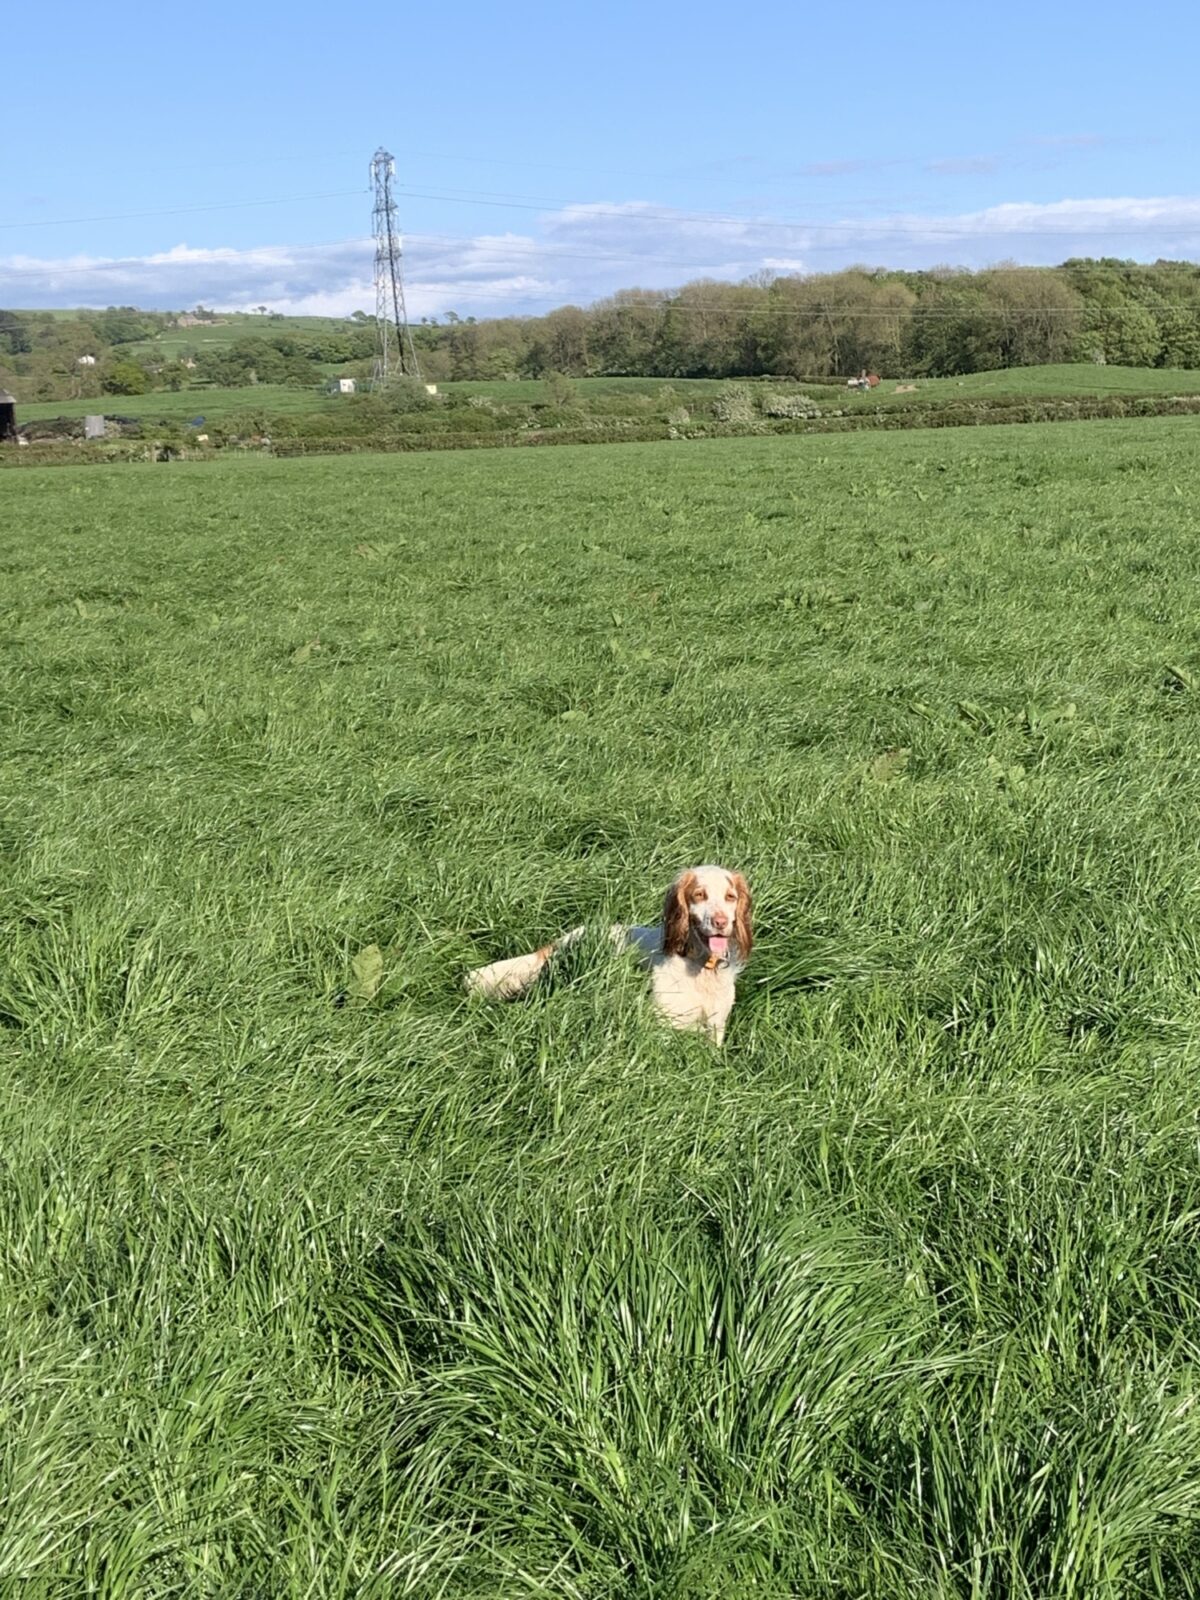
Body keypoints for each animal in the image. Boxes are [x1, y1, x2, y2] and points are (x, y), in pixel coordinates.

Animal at [467, 870, 755, 1043]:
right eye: (699, 895)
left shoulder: (715, 1029)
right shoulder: (667, 1022)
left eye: (730, 897)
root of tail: (565, 937)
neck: (700, 966)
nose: (720, 921)